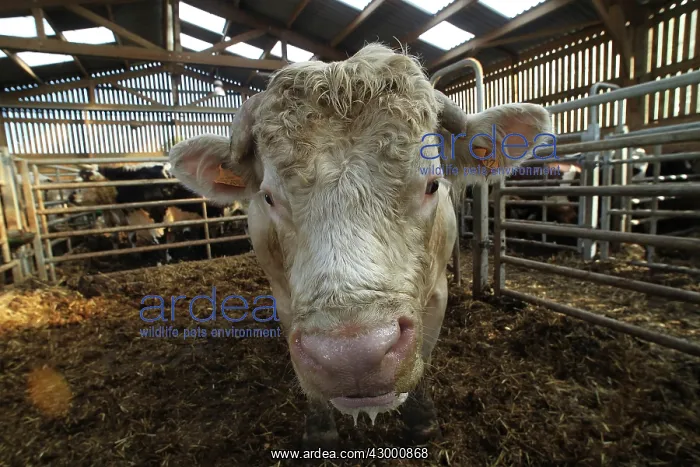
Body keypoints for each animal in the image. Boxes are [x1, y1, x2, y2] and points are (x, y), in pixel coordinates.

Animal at [167, 44, 553, 447]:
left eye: (432, 184)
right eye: (269, 197)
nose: (351, 356)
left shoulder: (437, 293)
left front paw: (422, 420)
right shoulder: (284, 300)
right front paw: (320, 432)